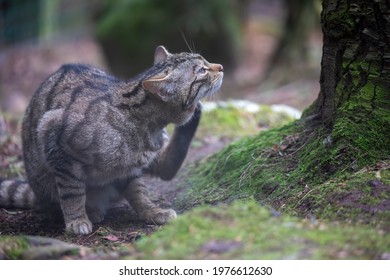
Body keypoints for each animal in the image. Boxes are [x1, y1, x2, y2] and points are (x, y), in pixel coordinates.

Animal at [0, 45, 224, 234]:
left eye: (205, 60)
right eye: (201, 70)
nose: (221, 67)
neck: (148, 128)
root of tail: (36, 194)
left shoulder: (130, 169)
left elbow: (139, 192)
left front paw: (152, 211)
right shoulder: (55, 141)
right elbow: (72, 192)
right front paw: (76, 220)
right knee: (57, 201)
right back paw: (89, 211)